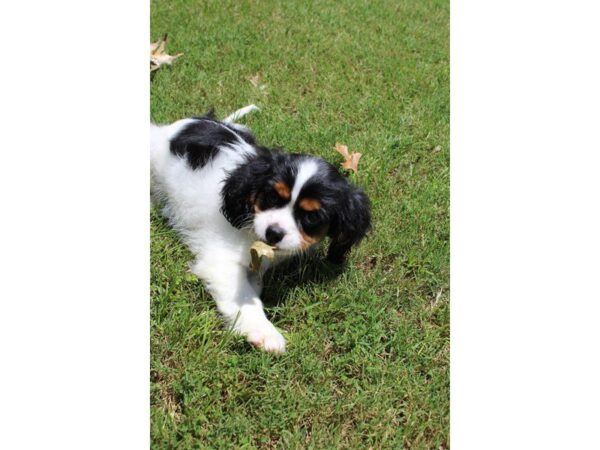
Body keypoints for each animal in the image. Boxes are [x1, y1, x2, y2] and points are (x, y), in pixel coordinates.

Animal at [150, 108, 368, 352]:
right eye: (272, 197)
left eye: (311, 216)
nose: (274, 233)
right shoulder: (220, 261)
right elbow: (244, 298)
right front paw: (264, 332)